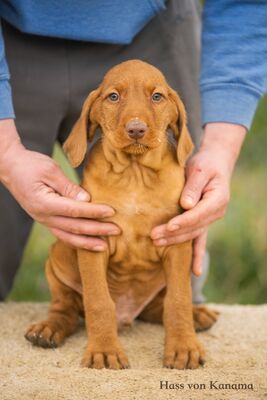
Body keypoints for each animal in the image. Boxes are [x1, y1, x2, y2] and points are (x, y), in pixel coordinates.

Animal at [25, 59, 218, 368]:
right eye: (113, 97)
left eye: (157, 96)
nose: (136, 129)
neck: (135, 173)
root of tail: (128, 315)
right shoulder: (93, 240)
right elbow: (98, 301)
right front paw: (104, 350)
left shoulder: (176, 240)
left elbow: (178, 300)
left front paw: (183, 347)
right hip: (58, 256)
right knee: (65, 308)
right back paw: (47, 329)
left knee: (159, 306)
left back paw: (197, 314)